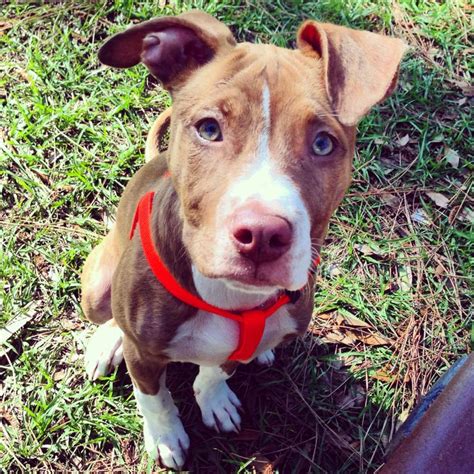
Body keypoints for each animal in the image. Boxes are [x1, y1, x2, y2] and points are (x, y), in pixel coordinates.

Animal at [80, 11, 404, 470]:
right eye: (209, 128)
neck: (230, 297)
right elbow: (154, 399)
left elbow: (216, 370)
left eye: (323, 143)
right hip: (97, 287)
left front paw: (214, 399)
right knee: (108, 315)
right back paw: (107, 342)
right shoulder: (143, 354)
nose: (263, 235)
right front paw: (166, 437)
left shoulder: (234, 349)